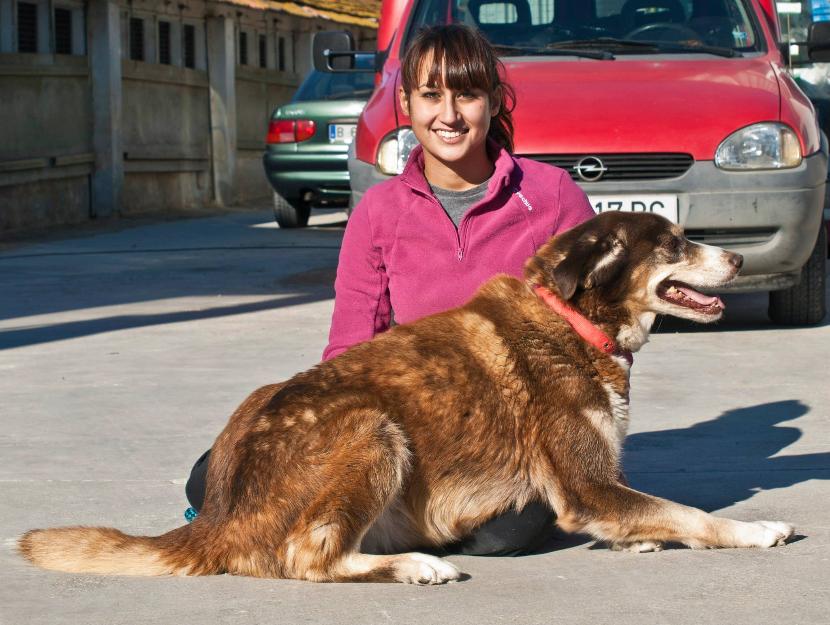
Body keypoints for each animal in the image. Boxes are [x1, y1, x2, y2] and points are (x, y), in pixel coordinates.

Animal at [19, 212, 796, 584]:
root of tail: (216, 518)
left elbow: (659, 513)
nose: (736, 257)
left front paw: (641, 538)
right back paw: (417, 565)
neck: (574, 319)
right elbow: (692, 512)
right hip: (375, 431)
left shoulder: (601, 487)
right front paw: (754, 529)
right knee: (310, 556)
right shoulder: (585, 486)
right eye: (673, 244)